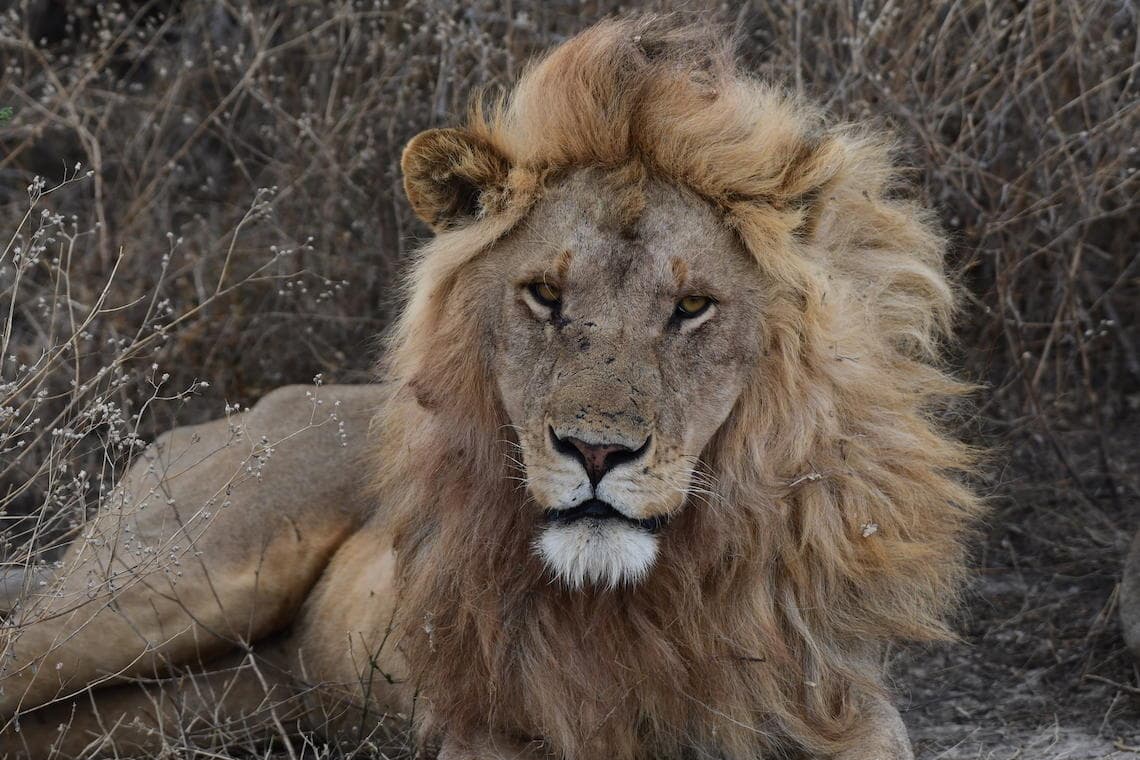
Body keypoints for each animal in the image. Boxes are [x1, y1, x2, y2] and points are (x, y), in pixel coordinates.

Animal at [0, 17, 980, 760]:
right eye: (545, 295)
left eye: (692, 307)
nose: (595, 452)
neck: (651, 596)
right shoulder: (489, 727)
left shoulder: (837, 700)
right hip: (170, 579)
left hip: (225, 697)